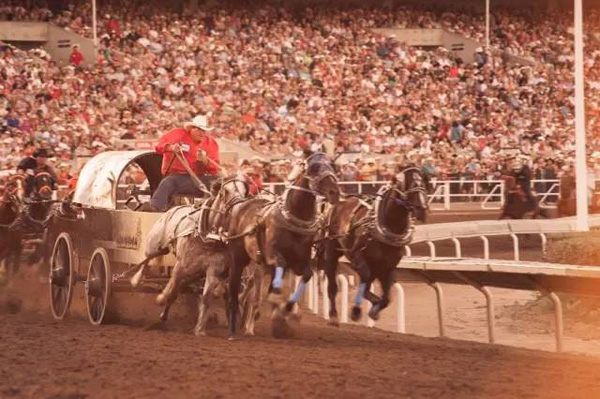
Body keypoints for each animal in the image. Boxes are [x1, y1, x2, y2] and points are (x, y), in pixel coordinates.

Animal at [130, 179, 252, 338]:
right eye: (225, 192)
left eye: (245, 192)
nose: (240, 207)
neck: (206, 236)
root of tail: (173, 208)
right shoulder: (181, 265)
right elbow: (173, 291)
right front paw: (161, 300)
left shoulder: (214, 270)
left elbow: (206, 297)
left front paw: (199, 329)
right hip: (154, 246)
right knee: (146, 261)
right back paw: (136, 280)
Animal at [225, 155, 340, 340]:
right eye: (314, 168)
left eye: (334, 167)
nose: (334, 193)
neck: (293, 220)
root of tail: (241, 204)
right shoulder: (274, 257)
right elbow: (274, 281)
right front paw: (276, 306)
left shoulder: (299, 262)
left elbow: (306, 275)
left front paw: (286, 311)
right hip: (238, 258)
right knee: (235, 289)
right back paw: (234, 327)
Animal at [318, 166, 426, 324]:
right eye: (408, 184)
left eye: (424, 182)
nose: (422, 209)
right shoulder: (358, 257)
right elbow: (365, 282)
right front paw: (357, 311)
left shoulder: (387, 266)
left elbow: (386, 298)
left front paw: (373, 311)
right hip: (331, 250)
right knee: (332, 285)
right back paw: (333, 314)